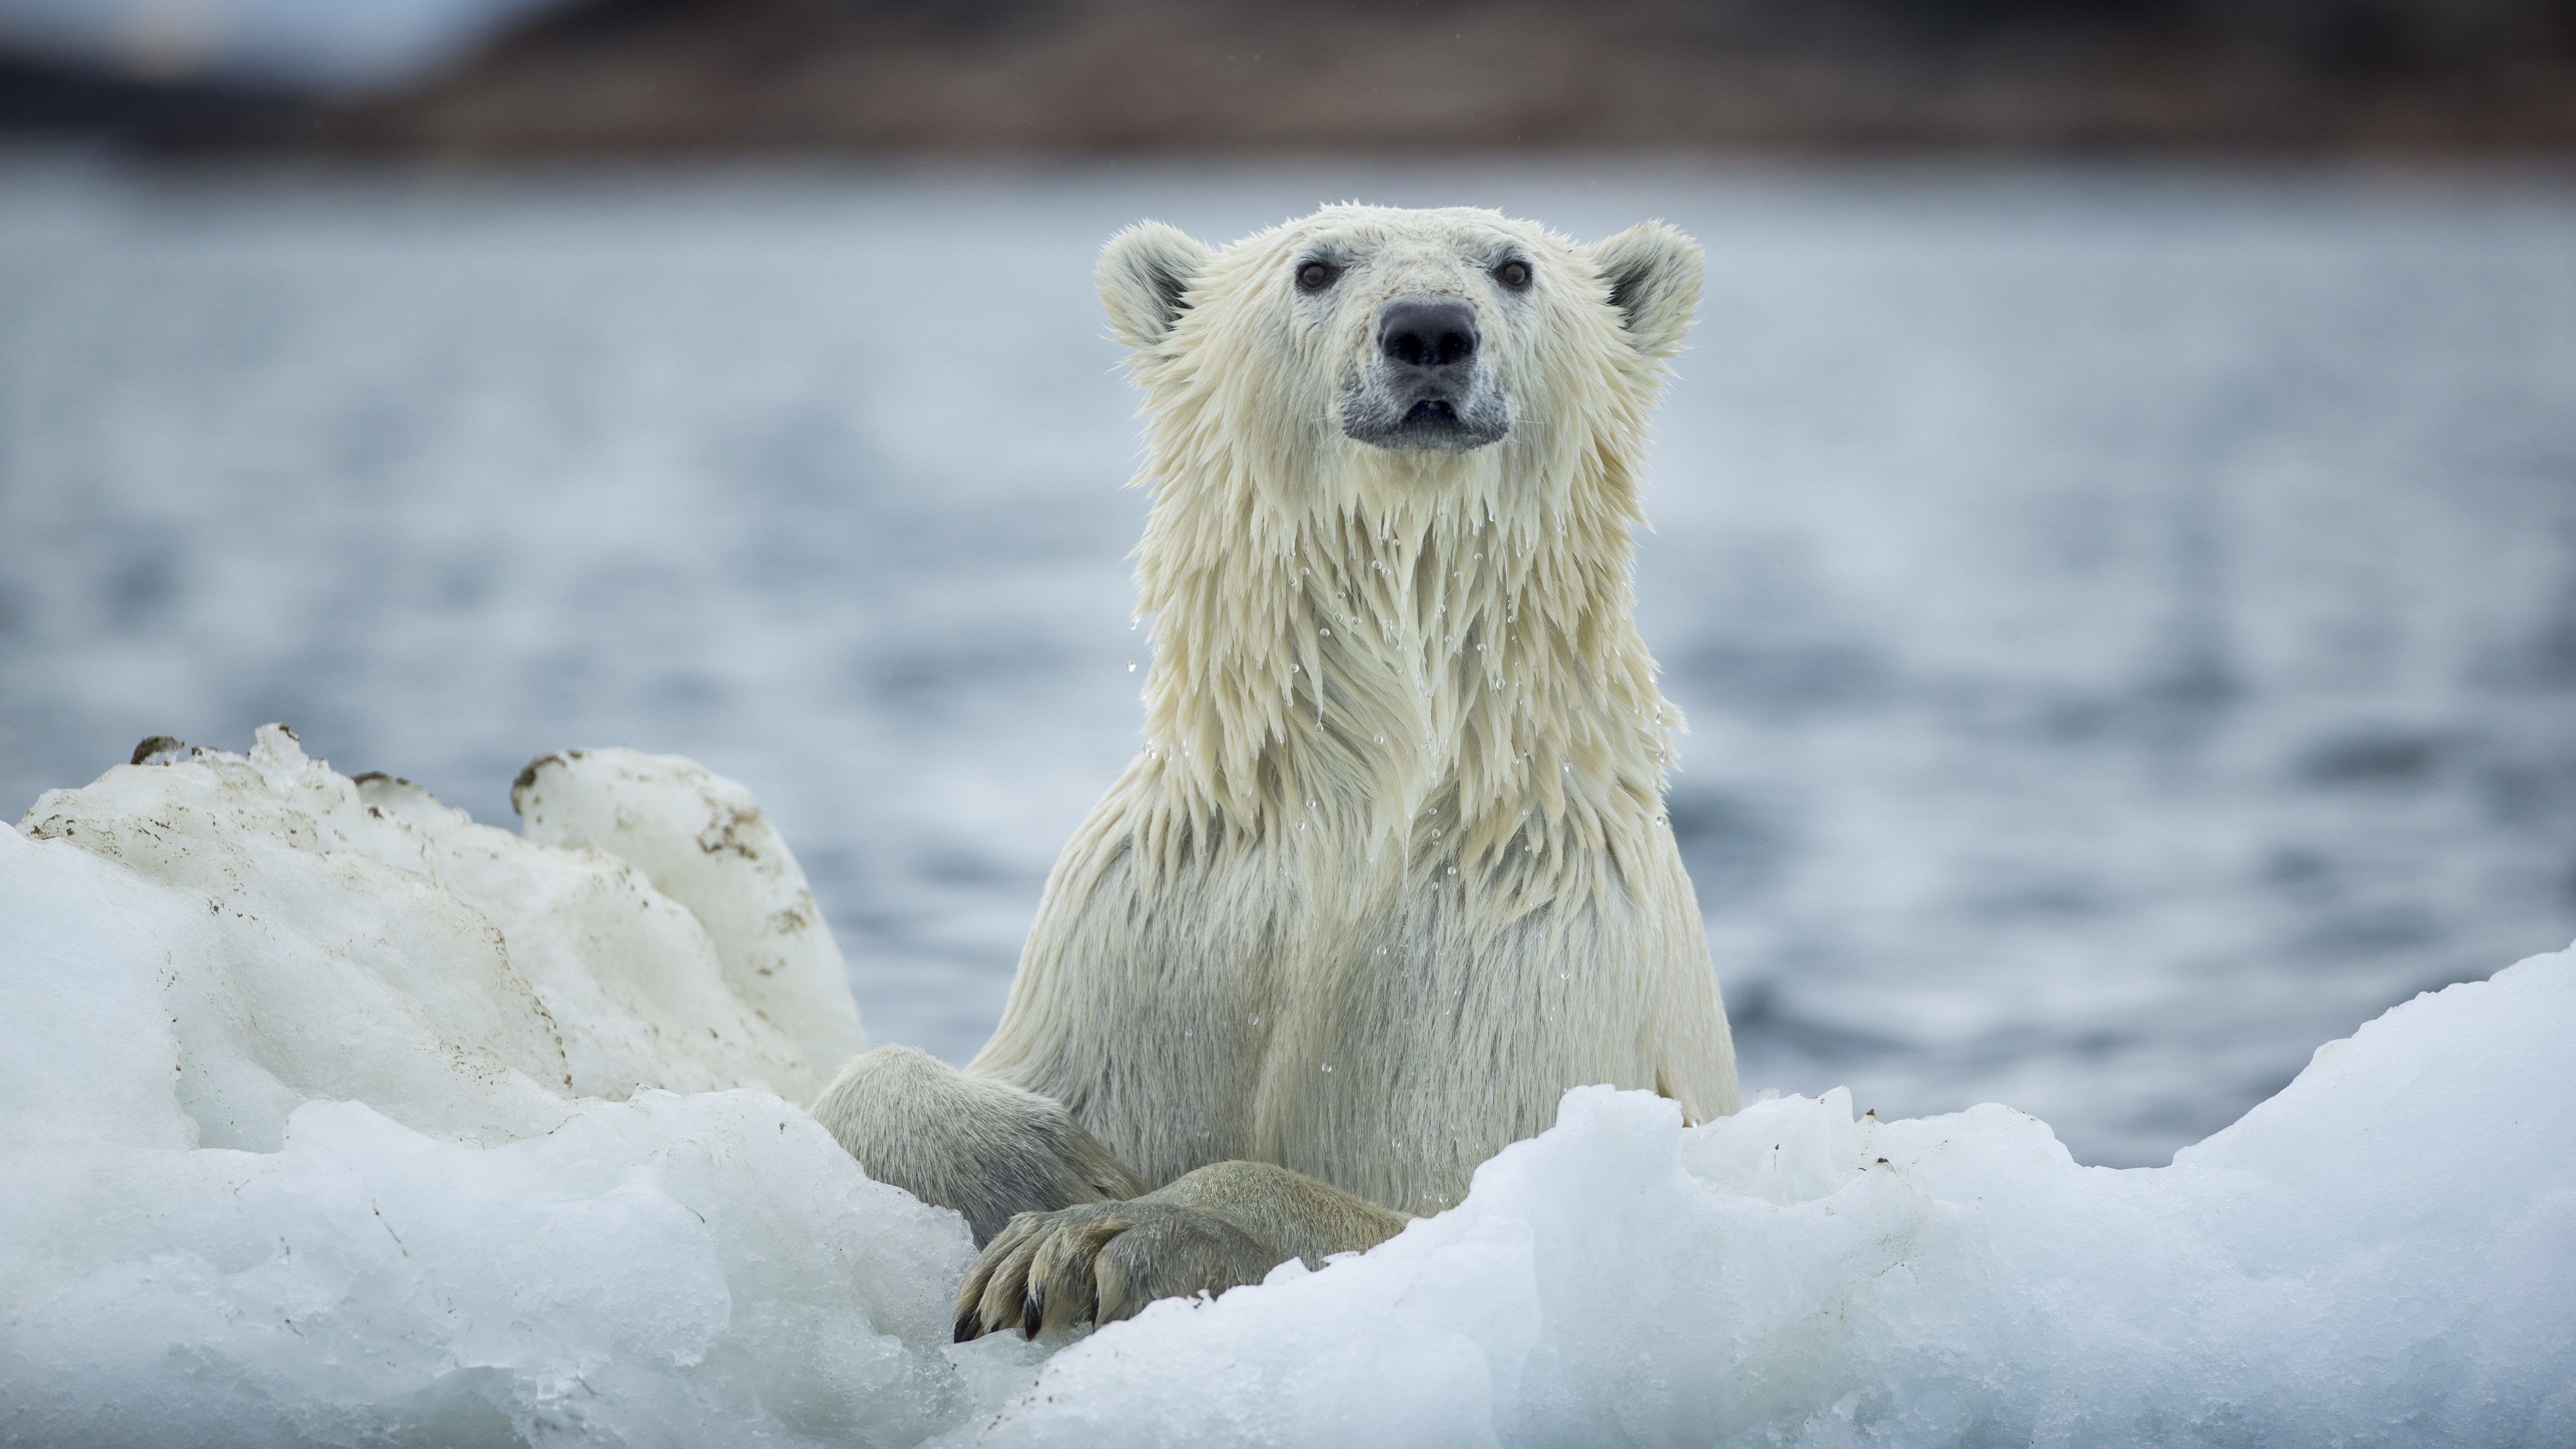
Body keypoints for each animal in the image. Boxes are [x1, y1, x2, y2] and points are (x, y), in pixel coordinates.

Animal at [814, 200, 1741, 1330]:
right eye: (1315, 268)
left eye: (1514, 268)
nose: (1428, 330)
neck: (1357, 808)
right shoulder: (1152, 929)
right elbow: (870, 1090)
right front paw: (1054, 1165)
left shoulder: (1520, 977)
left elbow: (1441, 1204)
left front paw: (1094, 1235)